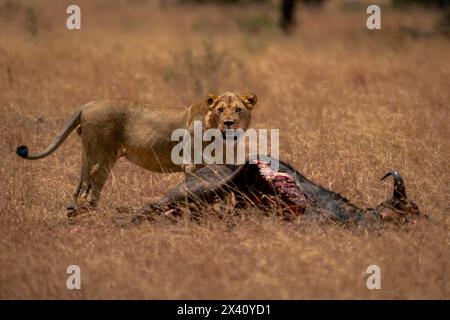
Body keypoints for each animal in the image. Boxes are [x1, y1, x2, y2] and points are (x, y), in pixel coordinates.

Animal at [16, 92, 256, 212]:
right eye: (220, 110)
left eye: (238, 110)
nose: (229, 123)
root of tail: (87, 104)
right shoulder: (191, 165)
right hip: (100, 156)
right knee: (88, 187)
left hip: (94, 155)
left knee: (84, 184)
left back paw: (77, 210)